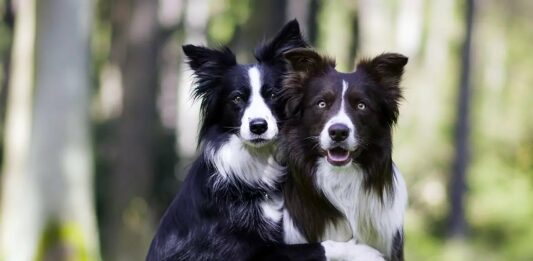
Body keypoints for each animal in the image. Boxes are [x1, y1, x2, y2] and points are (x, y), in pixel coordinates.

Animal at [144, 19, 382, 260]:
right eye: (237, 98)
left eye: (274, 94)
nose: (258, 126)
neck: (256, 164)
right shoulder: (243, 252)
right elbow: (321, 245)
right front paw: (365, 251)